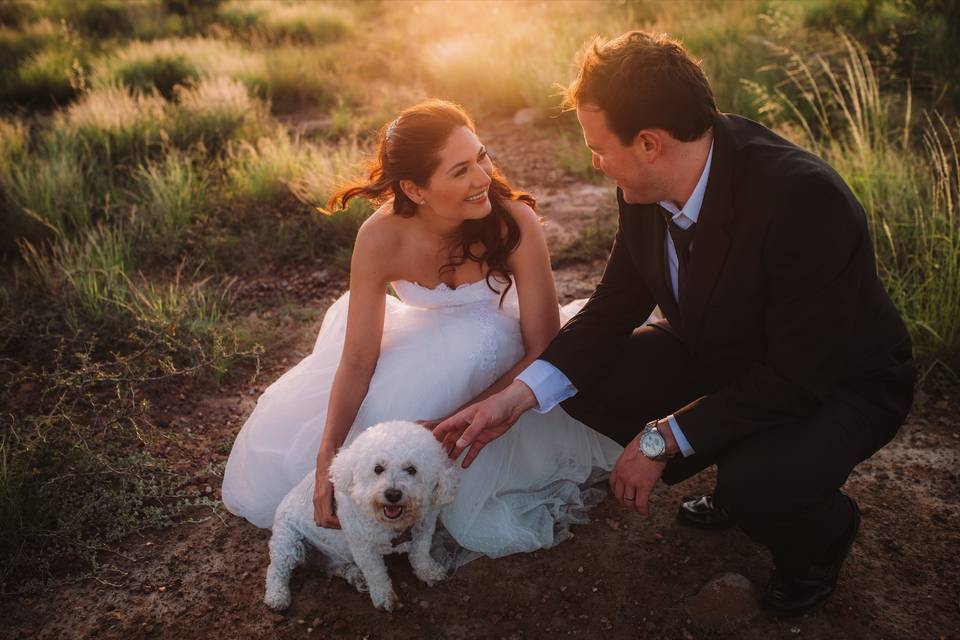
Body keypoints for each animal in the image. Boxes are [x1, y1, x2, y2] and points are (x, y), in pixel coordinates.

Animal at [262, 420, 458, 608]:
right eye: (378, 468)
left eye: (411, 469)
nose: (393, 494)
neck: (390, 523)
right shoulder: (363, 546)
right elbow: (376, 573)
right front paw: (384, 598)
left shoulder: (424, 529)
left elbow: (421, 553)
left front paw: (429, 571)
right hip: (288, 540)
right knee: (276, 569)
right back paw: (277, 596)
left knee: (334, 568)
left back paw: (355, 575)